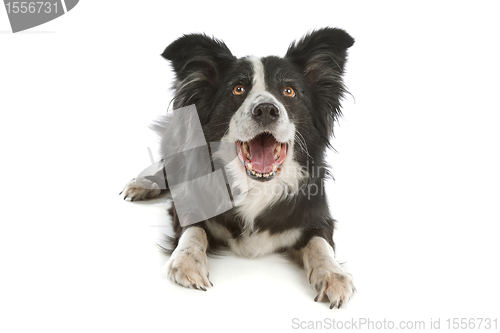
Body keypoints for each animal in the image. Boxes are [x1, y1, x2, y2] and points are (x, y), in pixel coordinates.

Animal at [121, 28, 356, 308]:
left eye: (289, 91)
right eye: (238, 89)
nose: (265, 109)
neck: (255, 185)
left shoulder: (318, 215)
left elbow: (321, 244)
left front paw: (334, 275)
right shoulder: (188, 203)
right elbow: (194, 230)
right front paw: (186, 261)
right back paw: (143, 184)